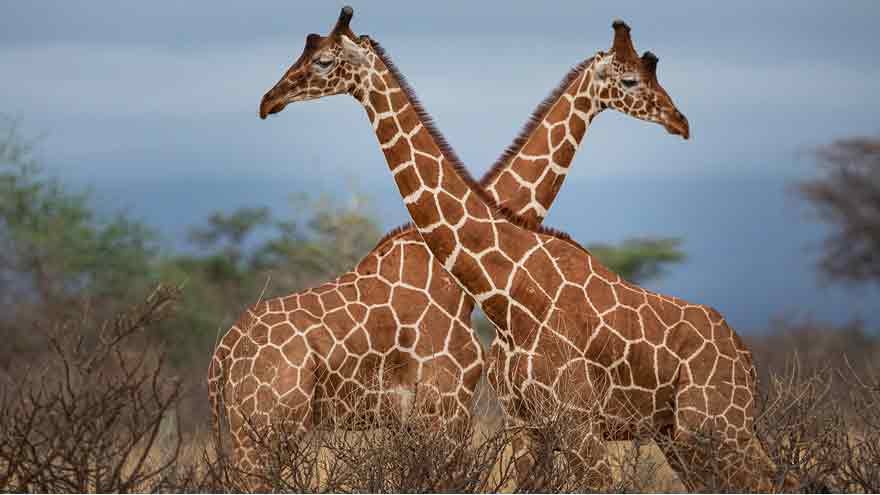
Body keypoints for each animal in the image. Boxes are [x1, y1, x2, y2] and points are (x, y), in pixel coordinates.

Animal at [259, 7, 785, 492]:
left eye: (324, 60)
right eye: (632, 79)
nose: (269, 100)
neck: (508, 292)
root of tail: (745, 355)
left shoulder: (570, 421)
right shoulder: (525, 424)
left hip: (715, 426)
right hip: (683, 434)